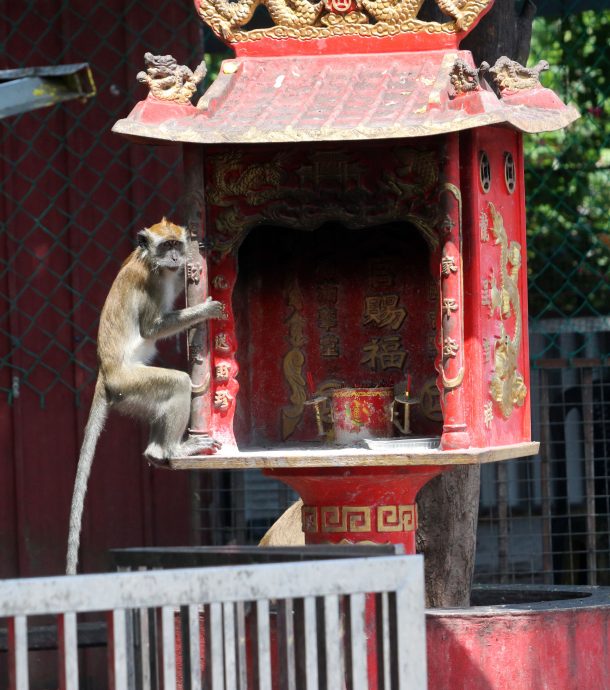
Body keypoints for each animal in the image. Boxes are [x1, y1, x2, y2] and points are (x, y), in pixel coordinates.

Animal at [67, 218, 223, 572]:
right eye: (165, 247)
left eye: (175, 245)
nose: (175, 258)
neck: (149, 261)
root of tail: (106, 373)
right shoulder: (150, 282)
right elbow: (152, 328)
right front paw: (206, 308)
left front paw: (197, 249)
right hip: (131, 383)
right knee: (178, 384)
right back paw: (171, 451)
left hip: (132, 394)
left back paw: (158, 452)